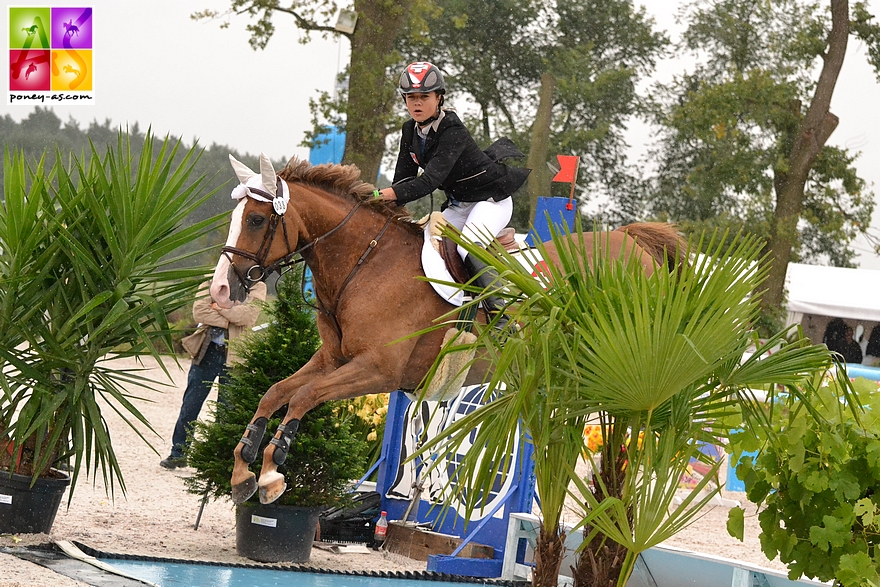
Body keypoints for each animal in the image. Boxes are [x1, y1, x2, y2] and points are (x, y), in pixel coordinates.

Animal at [210, 153, 684, 506]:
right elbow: (275, 393)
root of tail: (634, 242)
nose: (220, 290)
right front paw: (244, 471)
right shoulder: (333, 359)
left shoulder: (378, 370)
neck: (366, 263)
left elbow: (304, 397)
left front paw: (272, 474)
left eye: (256, 220)